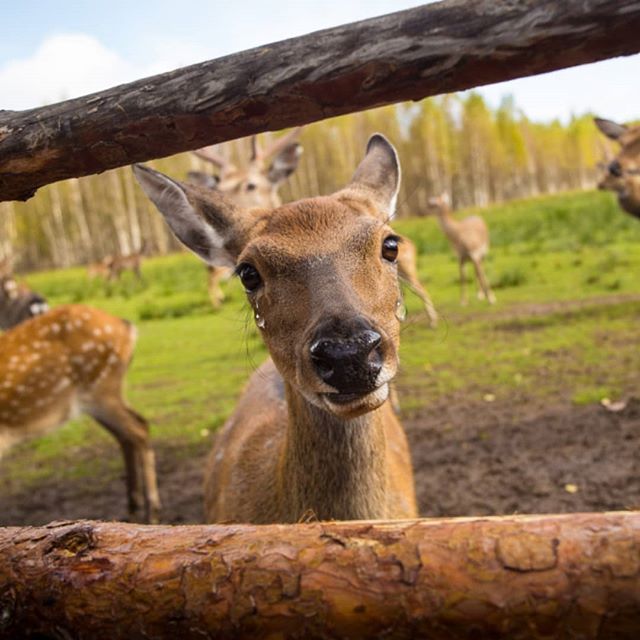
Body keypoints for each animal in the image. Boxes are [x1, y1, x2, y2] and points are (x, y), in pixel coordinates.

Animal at [0, 292, 160, 524]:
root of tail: (127, 327)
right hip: (98, 397)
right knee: (126, 434)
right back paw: (132, 508)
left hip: (102, 388)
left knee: (139, 427)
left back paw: (151, 511)